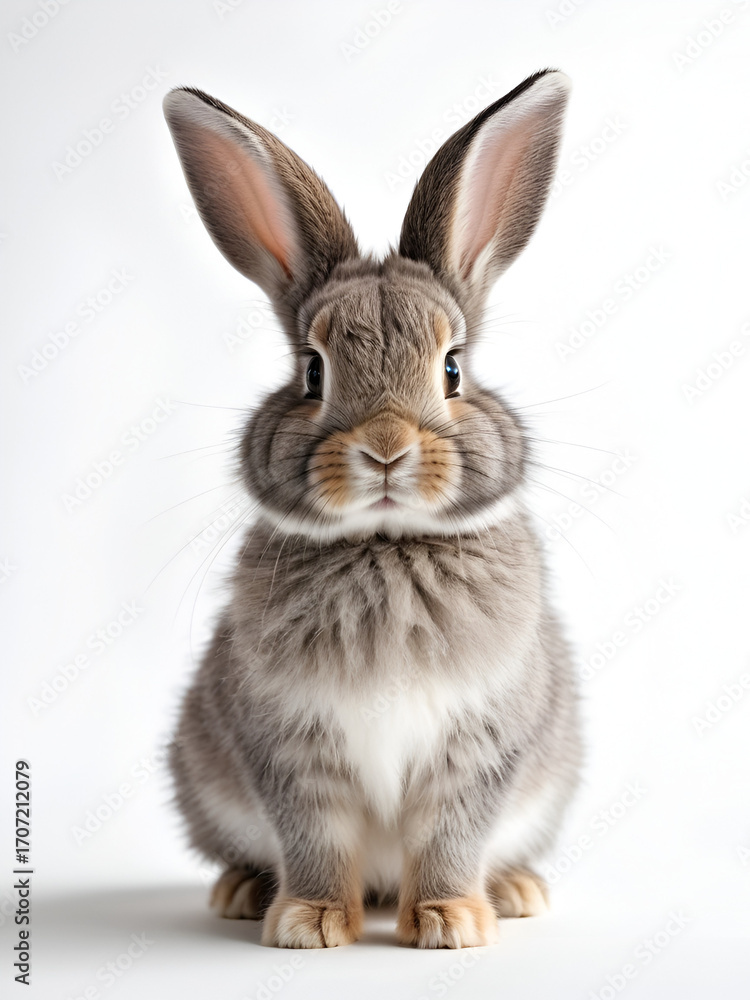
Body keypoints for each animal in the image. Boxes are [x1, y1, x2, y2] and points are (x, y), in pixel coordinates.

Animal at [162, 68, 582, 950]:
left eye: (453, 368)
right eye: (311, 372)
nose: (385, 449)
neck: (387, 543)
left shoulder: (477, 749)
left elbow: (452, 835)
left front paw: (453, 922)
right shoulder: (291, 748)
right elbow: (315, 837)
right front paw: (310, 923)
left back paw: (516, 890)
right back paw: (241, 892)